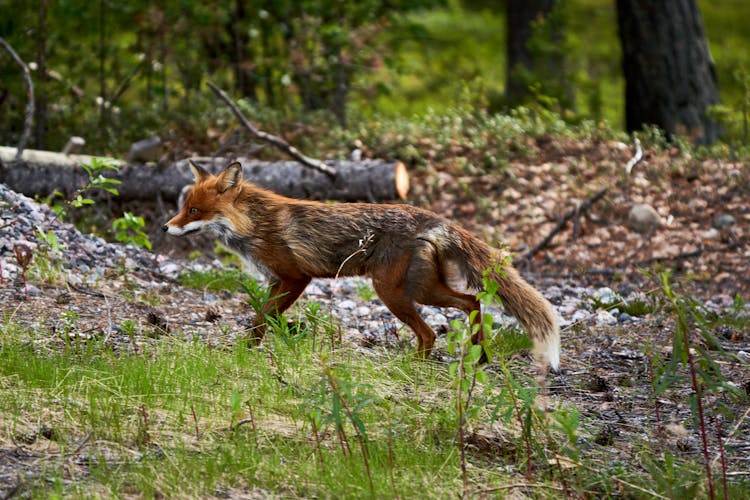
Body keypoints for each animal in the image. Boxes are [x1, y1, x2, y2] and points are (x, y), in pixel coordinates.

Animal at [166, 162, 564, 370]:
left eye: (194, 210)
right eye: (184, 207)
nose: (165, 227)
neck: (255, 224)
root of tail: (433, 218)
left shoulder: (295, 277)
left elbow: (261, 318)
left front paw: (246, 352)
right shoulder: (276, 281)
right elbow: (262, 319)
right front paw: (254, 349)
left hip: (394, 292)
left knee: (431, 332)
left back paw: (412, 366)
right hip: (423, 289)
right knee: (473, 302)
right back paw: (479, 355)